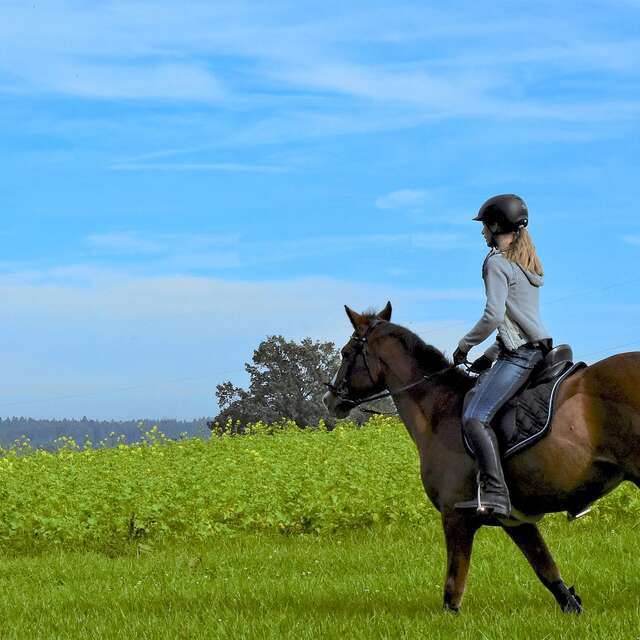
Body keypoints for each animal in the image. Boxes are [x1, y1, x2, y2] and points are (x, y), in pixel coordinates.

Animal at [322, 301, 640, 613]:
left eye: (346, 352)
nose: (330, 400)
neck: (440, 410)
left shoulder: (455, 516)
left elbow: (453, 588)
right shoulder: (516, 521)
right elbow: (547, 570)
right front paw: (572, 606)